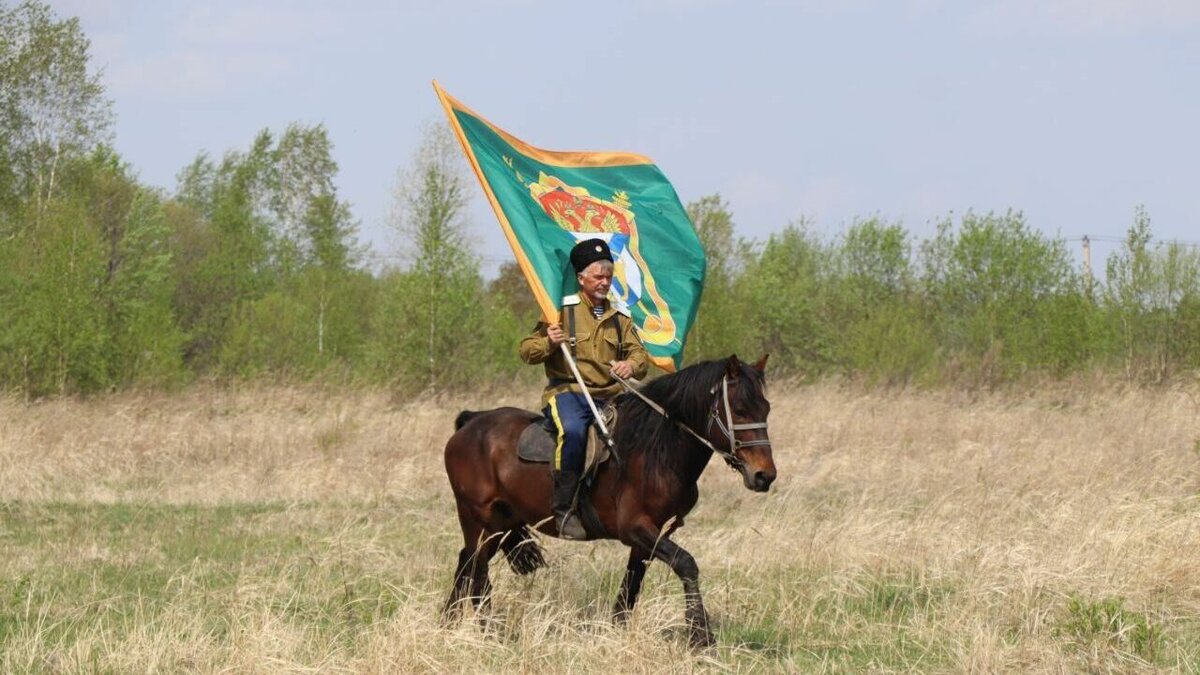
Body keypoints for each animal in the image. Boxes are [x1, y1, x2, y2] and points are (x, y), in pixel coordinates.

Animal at [441, 353, 777, 648]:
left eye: (766, 408)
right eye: (740, 409)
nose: (764, 475)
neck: (656, 451)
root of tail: (470, 423)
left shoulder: (650, 536)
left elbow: (631, 587)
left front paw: (616, 631)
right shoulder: (635, 528)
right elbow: (687, 564)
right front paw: (701, 637)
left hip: (500, 523)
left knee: (465, 563)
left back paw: (449, 623)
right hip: (479, 520)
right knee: (477, 572)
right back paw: (486, 630)